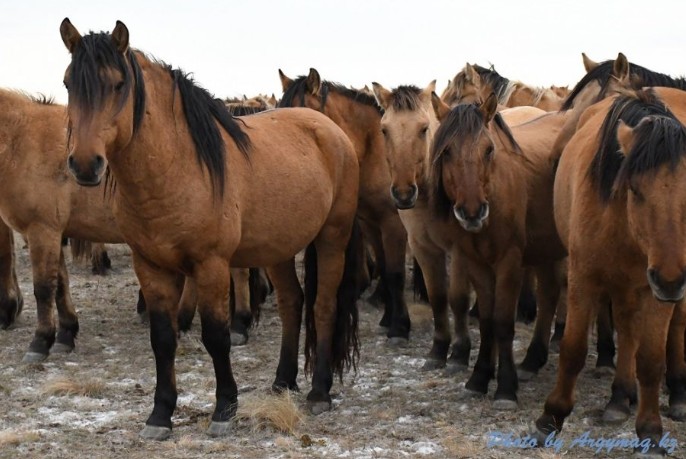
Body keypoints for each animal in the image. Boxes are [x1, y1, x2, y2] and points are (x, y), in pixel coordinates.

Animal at [61, 18, 362, 440]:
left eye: (118, 84)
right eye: (68, 84)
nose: (86, 165)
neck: (177, 168)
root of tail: (329, 128)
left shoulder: (212, 266)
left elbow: (216, 338)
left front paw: (224, 409)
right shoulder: (150, 268)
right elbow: (163, 340)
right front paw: (160, 415)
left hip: (332, 238)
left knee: (323, 305)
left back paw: (319, 392)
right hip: (278, 248)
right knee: (292, 302)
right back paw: (282, 381)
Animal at [280, 68, 414, 344]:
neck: (375, 151)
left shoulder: (393, 223)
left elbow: (395, 274)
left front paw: (400, 327)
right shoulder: (370, 222)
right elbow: (384, 266)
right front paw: (388, 318)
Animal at [430, 93, 568, 410]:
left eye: (489, 149)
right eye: (447, 152)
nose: (472, 212)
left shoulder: (509, 262)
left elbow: (503, 322)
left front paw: (505, 388)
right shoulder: (476, 263)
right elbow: (486, 321)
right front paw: (480, 378)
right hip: (547, 250)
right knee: (550, 294)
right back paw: (532, 360)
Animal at [536, 88, 686, 454]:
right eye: (635, 189)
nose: (670, 282)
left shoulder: (657, 291)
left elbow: (651, 359)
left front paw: (650, 430)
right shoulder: (583, 279)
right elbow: (573, 349)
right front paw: (551, 416)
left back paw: (673, 394)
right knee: (627, 328)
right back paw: (620, 397)